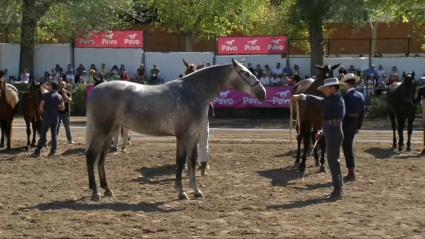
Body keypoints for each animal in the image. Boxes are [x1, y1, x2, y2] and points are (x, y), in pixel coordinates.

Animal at [85, 58, 264, 201]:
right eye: (246, 73)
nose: (263, 93)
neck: (191, 92)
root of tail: (96, 90)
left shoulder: (192, 135)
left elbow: (191, 161)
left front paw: (196, 191)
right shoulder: (182, 135)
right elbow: (180, 161)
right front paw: (181, 192)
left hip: (110, 131)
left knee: (101, 158)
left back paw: (107, 189)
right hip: (101, 130)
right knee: (91, 156)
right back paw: (95, 192)